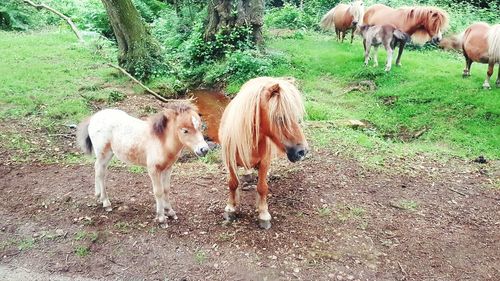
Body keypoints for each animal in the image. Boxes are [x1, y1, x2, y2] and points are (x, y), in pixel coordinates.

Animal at [76, 101, 209, 226]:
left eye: (200, 127)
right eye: (185, 130)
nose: (204, 149)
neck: (162, 141)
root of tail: (94, 117)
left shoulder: (168, 168)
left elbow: (166, 189)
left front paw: (170, 212)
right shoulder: (153, 170)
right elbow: (158, 191)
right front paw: (161, 218)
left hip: (107, 154)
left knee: (98, 169)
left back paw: (98, 197)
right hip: (104, 152)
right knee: (100, 172)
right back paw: (106, 202)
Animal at [219, 76, 308, 228]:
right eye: (280, 117)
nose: (302, 151)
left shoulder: (264, 163)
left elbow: (262, 188)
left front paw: (263, 214)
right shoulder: (230, 162)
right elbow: (232, 183)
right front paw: (230, 208)